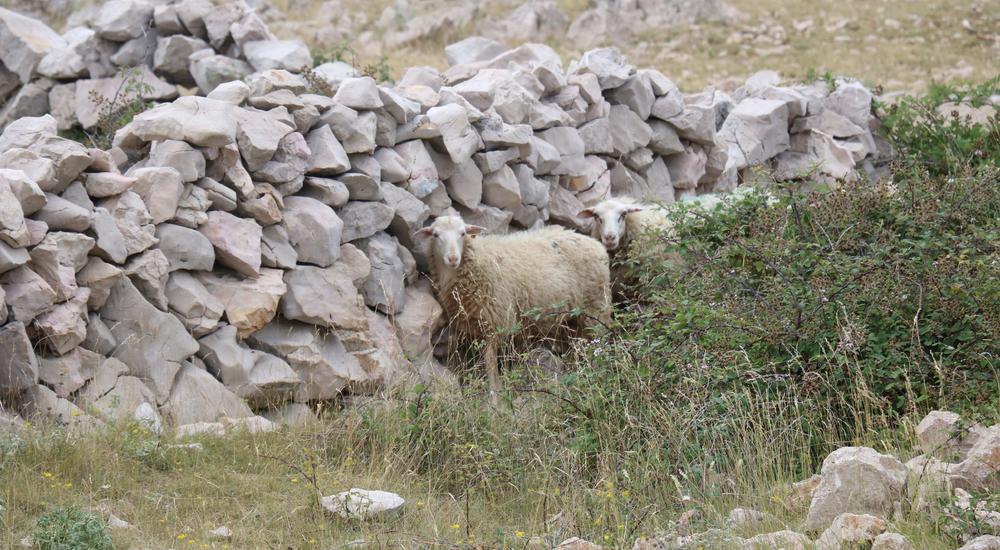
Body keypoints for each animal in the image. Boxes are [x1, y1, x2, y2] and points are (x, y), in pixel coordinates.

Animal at [412, 213, 608, 398]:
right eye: (436, 235)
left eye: (463, 233)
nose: (453, 258)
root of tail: (594, 243)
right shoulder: (472, 326)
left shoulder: (495, 324)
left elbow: (491, 365)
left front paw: (496, 399)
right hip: (569, 321)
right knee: (574, 351)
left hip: (596, 310)